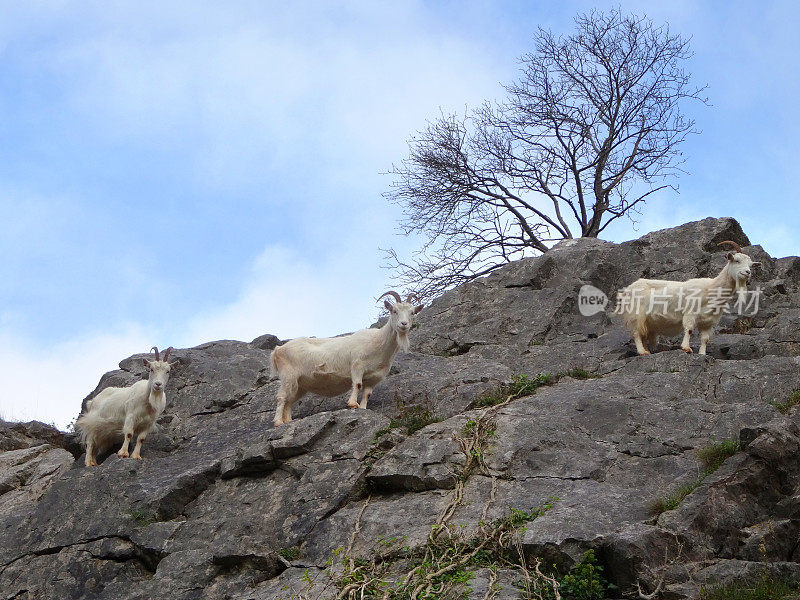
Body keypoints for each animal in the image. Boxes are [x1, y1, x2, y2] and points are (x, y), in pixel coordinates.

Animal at [270, 292, 424, 426]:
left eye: (412, 312)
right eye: (394, 311)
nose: (404, 324)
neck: (378, 342)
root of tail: (277, 350)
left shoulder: (374, 378)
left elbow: (367, 394)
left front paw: (362, 408)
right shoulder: (357, 365)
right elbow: (357, 384)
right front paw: (352, 404)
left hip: (300, 384)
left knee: (290, 400)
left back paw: (288, 421)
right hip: (288, 376)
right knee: (281, 397)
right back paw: (278, 422)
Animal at [620, 241, 760, 356]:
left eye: (750, 265)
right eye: (736, 260)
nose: (747, 272)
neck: (711, 288)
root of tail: (628, 289)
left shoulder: (708, 322)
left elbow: (705, 339)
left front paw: (702, 353)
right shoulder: (690, 313)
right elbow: (689, 330)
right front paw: (686, 348)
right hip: (636, 314)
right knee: (636, 333)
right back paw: (642, 351)